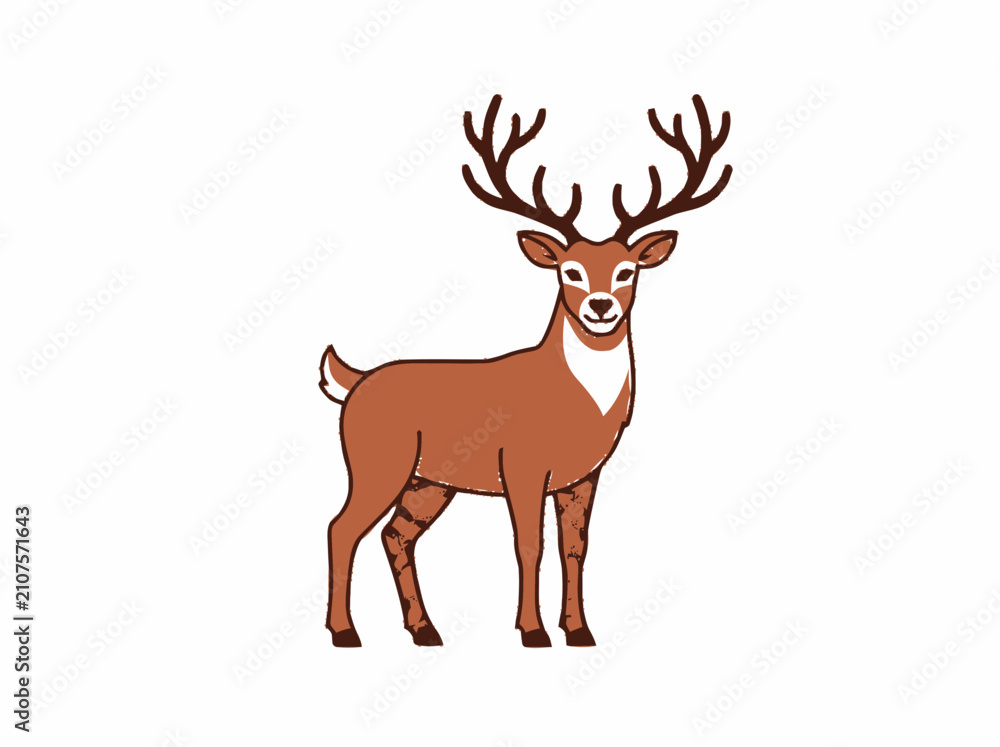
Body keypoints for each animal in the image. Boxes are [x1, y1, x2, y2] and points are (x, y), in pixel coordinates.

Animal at [319, 94, 731, 647]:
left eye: (627, 271)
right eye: (569, 271)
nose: (601, 306)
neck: (576, 402)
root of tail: (353, 382)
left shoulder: (585, 475)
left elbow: (575, 547)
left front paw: (579, 630)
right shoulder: (521, 462)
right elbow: (528, 544)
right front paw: (532, 632)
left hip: (430, 481)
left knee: (395, 534)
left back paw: (424, 629)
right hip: (378, 461)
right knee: (342, 528)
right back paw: (345, 632)